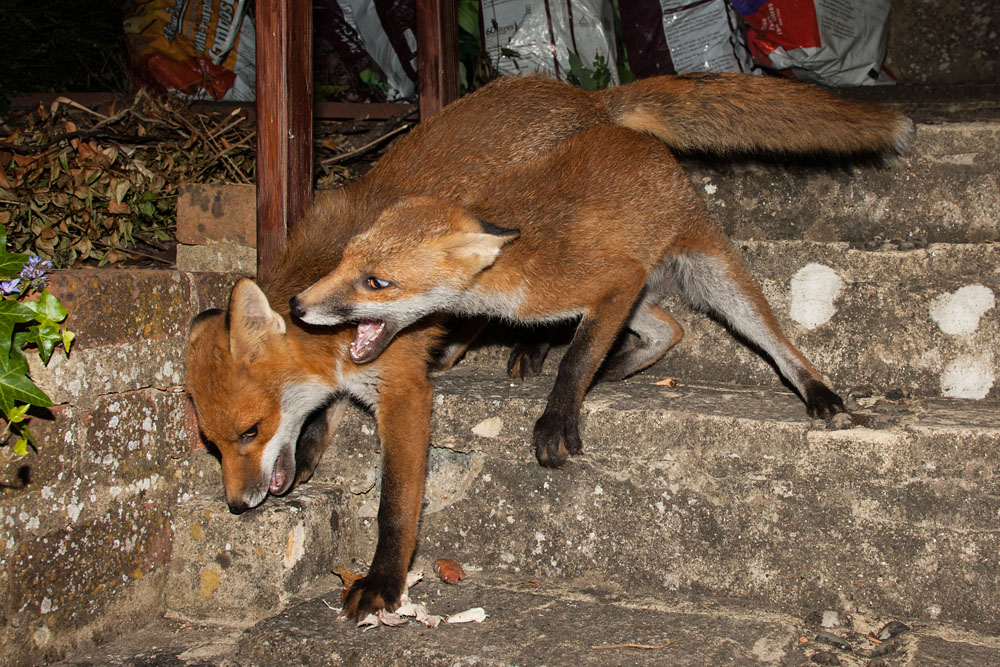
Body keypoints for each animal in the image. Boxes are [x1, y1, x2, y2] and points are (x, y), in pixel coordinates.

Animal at [186, 72, 913, 618]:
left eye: (249, 431)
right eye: (214, 443)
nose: (238, 505)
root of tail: (594, 100)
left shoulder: (405, 393)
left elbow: (397, 506)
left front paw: (384, 582)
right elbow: (325, 412)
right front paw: (311, 449)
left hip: (708, 274)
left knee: (762, 337)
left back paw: (816, 391)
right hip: (640, 282)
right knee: (664, 328)